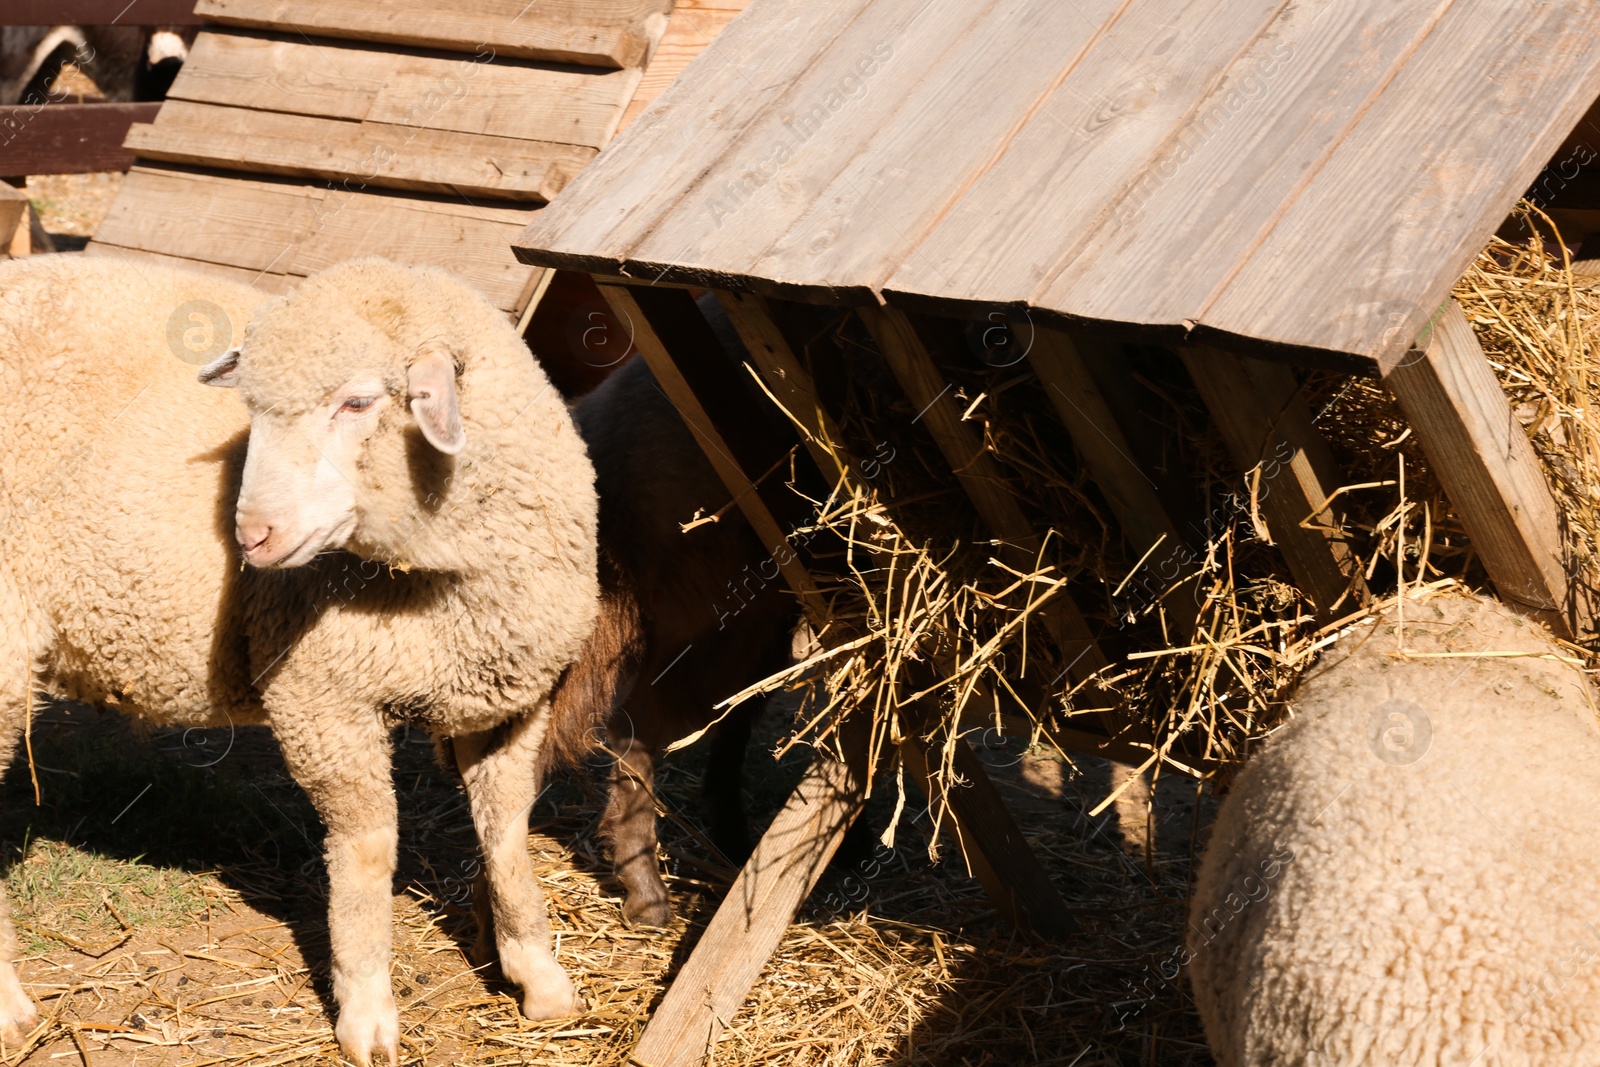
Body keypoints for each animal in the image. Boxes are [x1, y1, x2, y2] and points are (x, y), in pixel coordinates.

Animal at [0, 255, 601, 1067]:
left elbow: (507, 839)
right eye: (252, 408)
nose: (250, 536)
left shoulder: (511, 697)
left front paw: (539, 979)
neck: (438, 576)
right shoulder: (321, 695)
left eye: (358, 401)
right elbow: (367, 854)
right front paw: (367, 1013)